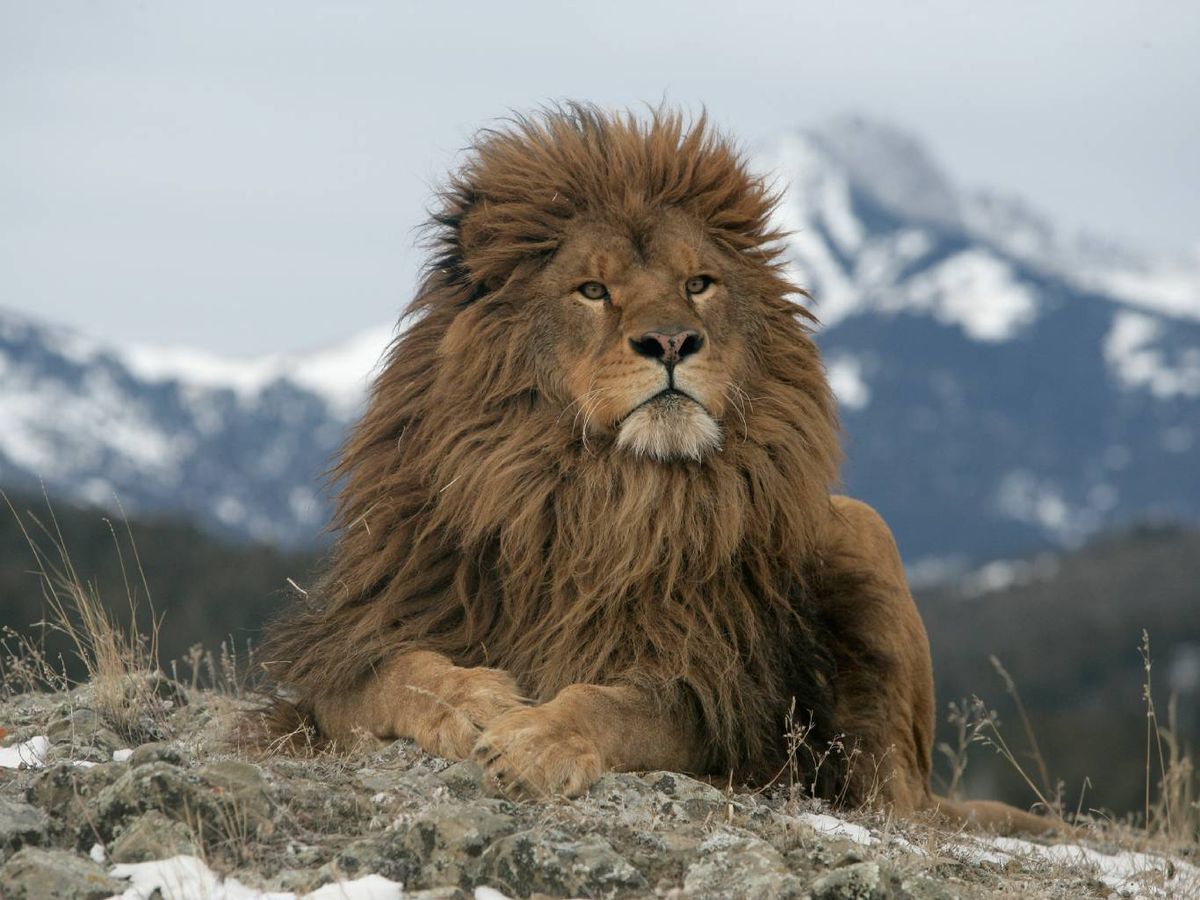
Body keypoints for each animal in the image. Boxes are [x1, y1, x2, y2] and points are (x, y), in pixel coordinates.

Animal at [263, 104, 1051, 833]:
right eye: (592, 291)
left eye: (698, 284)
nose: (671, 340)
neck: (592, 496)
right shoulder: (353, 646)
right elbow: (394, 675)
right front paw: (475, 703)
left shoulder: (710, 691)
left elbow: (611, 705)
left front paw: (536, 739)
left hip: (864, 535)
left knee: (898, 800)